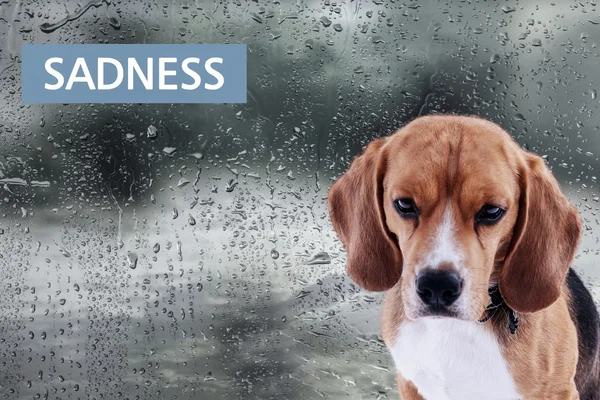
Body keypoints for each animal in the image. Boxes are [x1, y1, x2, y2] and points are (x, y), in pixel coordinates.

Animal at [328, 115, 600, 400]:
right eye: (404, 204)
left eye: (492, 211)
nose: (437, 286)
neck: (453, 328)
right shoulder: (410, 382)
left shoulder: (558, 391)